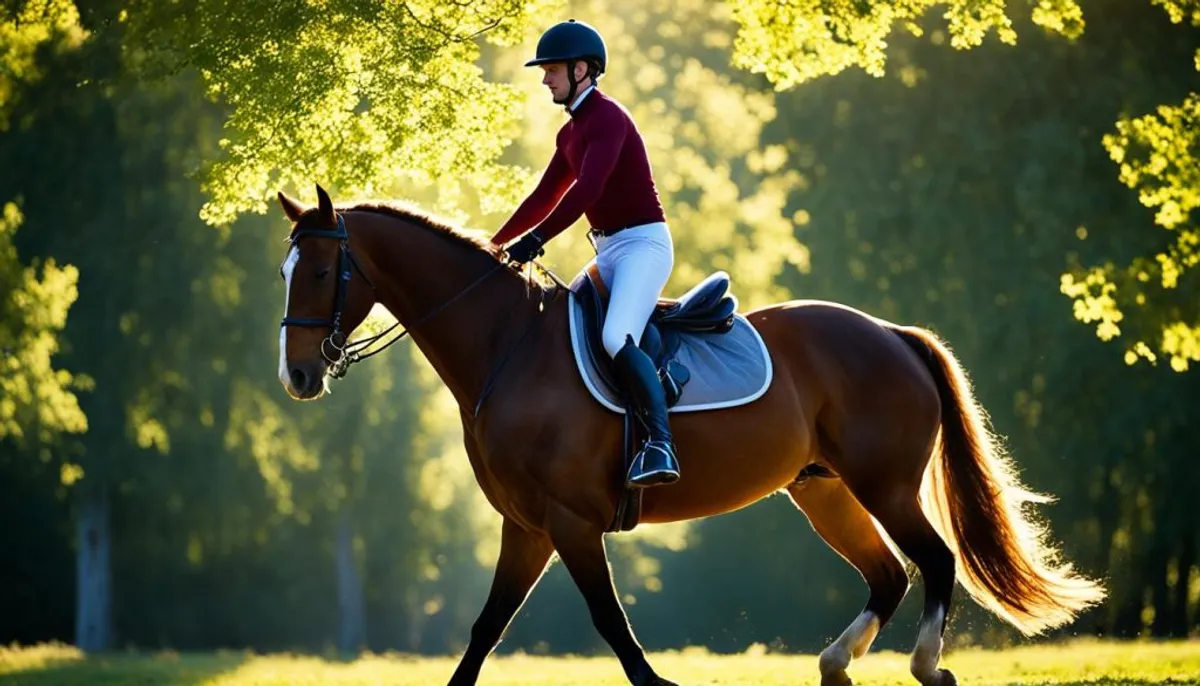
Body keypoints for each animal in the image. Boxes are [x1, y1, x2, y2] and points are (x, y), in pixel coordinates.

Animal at [276, 183, 1099, 686]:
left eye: (318, 272)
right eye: (287, 270)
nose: (300, 376)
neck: (506, 346)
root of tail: (893, 334)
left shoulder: (570, 523)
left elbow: (612, 626)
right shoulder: (527, 526)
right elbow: (484, 631)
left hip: (884, 484)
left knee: (933, 561)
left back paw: (926, 664)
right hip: (825, 492)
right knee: (888, 575)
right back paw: (836, 662)